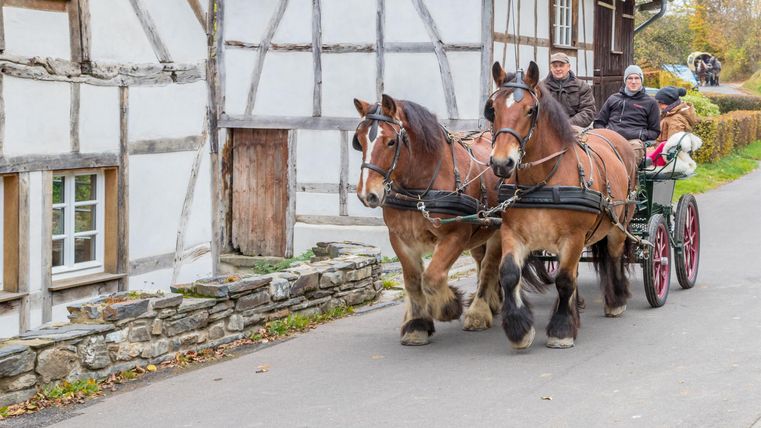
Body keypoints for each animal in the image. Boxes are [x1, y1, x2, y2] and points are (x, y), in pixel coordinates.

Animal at [352, 94, 507, 345]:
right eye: (359, 141)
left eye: (391, 142)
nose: (368, 195)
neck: (418, 190)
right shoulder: (400, 238)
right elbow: (413, 281)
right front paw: (417, 324)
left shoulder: (456, 235)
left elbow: (432, 277)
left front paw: (448, 306)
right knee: (480, 261)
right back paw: (493, 302)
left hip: (499, 229)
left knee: (489, 266)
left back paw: (479, 311)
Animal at [485, 61, 638, 349]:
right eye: (493, 109)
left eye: (530, 110)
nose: (501, 163)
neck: (543, 181)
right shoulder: (512, 233)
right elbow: (509, 274)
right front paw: (519, 328)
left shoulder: (573, 236)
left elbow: (565, 280)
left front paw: (561, 329)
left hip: (618, 225)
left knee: (613, 257)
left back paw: (616, 300)